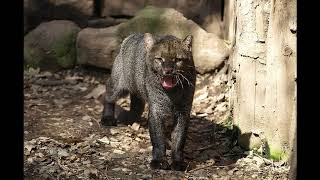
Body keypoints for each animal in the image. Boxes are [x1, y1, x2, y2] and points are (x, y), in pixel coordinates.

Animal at [100, 33, 195, 171]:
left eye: (178, 59)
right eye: (160, 59)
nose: (168, 70)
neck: (172, 93)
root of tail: (131, 36)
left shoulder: (183, 111)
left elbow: (179, 139)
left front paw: (178, 162)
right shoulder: (157, 109)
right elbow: (158, 139)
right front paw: (159, 161)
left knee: (137, 104)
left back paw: (130, 118)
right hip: (118, 85)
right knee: (108, 93)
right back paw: (107, 118)